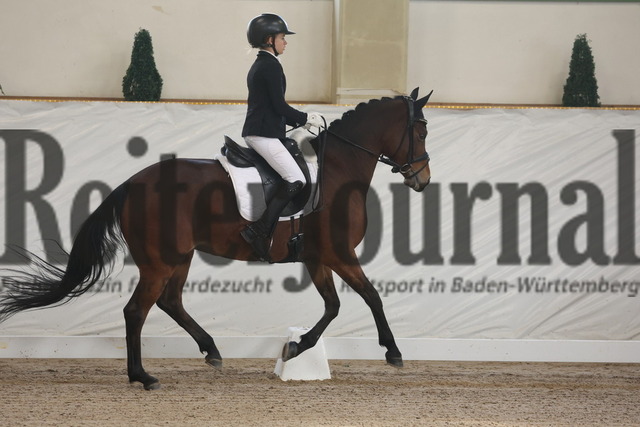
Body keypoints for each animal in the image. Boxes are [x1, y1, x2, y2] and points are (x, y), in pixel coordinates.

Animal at [0, 88, 432, 392]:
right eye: (422, 130)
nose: (422, 180)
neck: (339, 171)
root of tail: (130, 184)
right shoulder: (339, 254)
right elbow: (370, 297)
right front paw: (393, 351)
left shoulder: (316, 257)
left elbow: (333, 306)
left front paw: (295, 348)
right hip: (160, 261)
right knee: (137, 311)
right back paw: (143, 376)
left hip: (179, 257)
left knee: (170, 302)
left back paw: (211, 351)